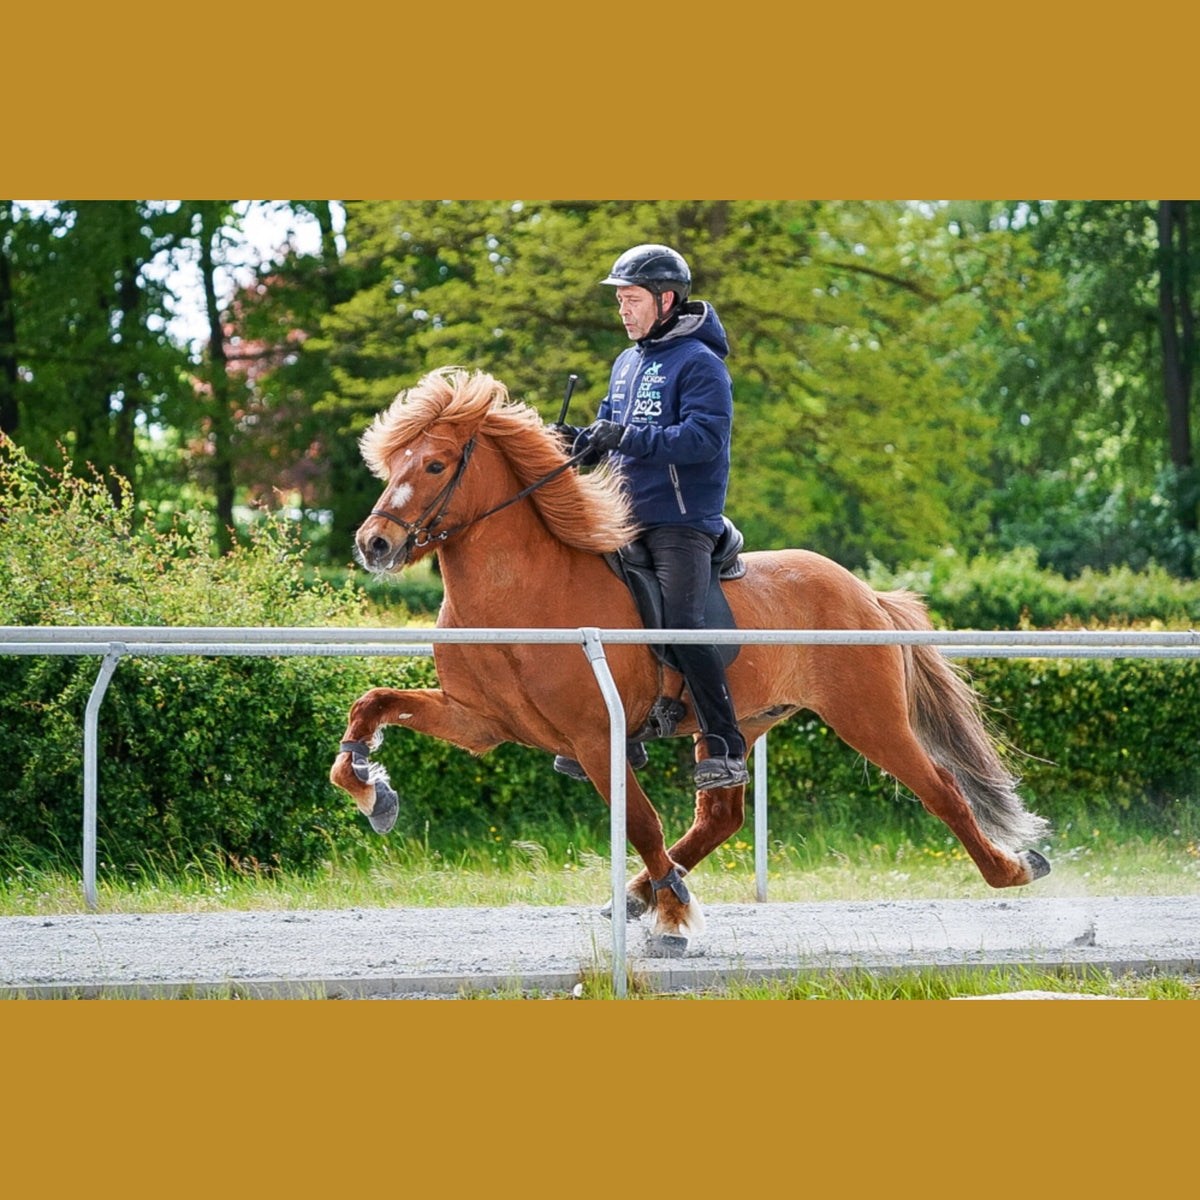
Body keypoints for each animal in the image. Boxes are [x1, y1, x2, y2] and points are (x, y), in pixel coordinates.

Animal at [328, 364, 1051, 955]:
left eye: (435, 464)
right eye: (394, 463)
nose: (374, 543)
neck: (519, 596)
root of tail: (864, 592)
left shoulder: (597, 737)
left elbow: (641, 821)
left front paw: (674, 919)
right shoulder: (477, 721)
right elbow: (371, 706)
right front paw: (370, 788)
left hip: (868, 719)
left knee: (942, 789)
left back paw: (1013, 868)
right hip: (735, 725)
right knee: (720, 818)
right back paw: (642, 890)